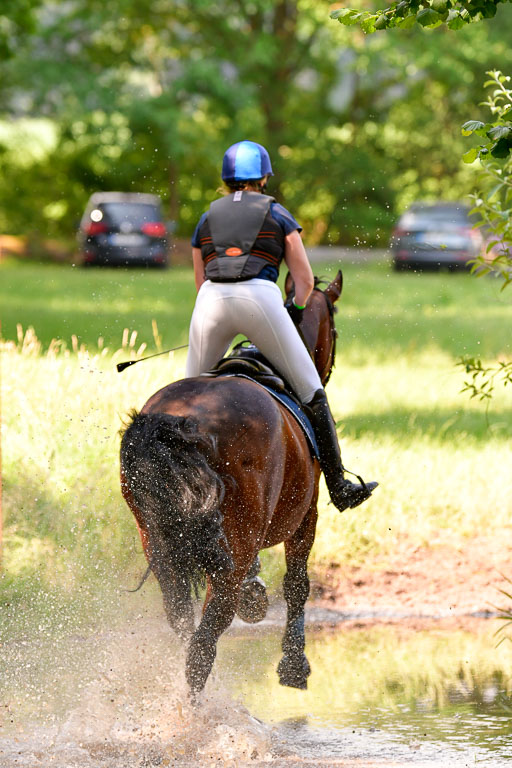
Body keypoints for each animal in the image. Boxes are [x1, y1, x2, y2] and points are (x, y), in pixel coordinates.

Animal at [120, 270, 342, 696]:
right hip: (229, 555)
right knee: (203, 643)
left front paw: (255, 597)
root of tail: (182, 423)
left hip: (159, 543)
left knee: (182, 620)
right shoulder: (306, 516)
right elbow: (297, 584)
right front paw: (294, 666)